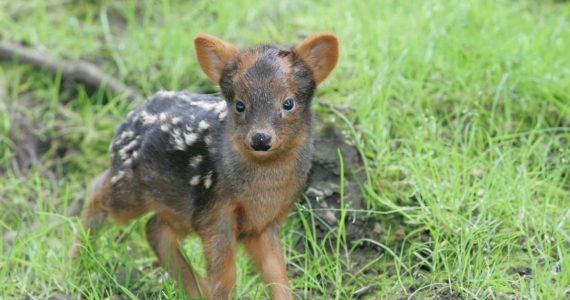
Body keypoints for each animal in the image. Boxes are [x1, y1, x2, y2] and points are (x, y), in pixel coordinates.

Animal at [71, 31, 338, 298]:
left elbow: (277, 274)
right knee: (98, 190)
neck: (263, 191)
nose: (260, 139)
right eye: (240, 104)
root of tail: (128, 119)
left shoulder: (265, 223)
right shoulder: (215, 211)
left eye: (288, 103)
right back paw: (75, 266)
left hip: (179, 208)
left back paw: (196, 290)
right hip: (130, 191)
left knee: (154, 228)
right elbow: (226, 277)